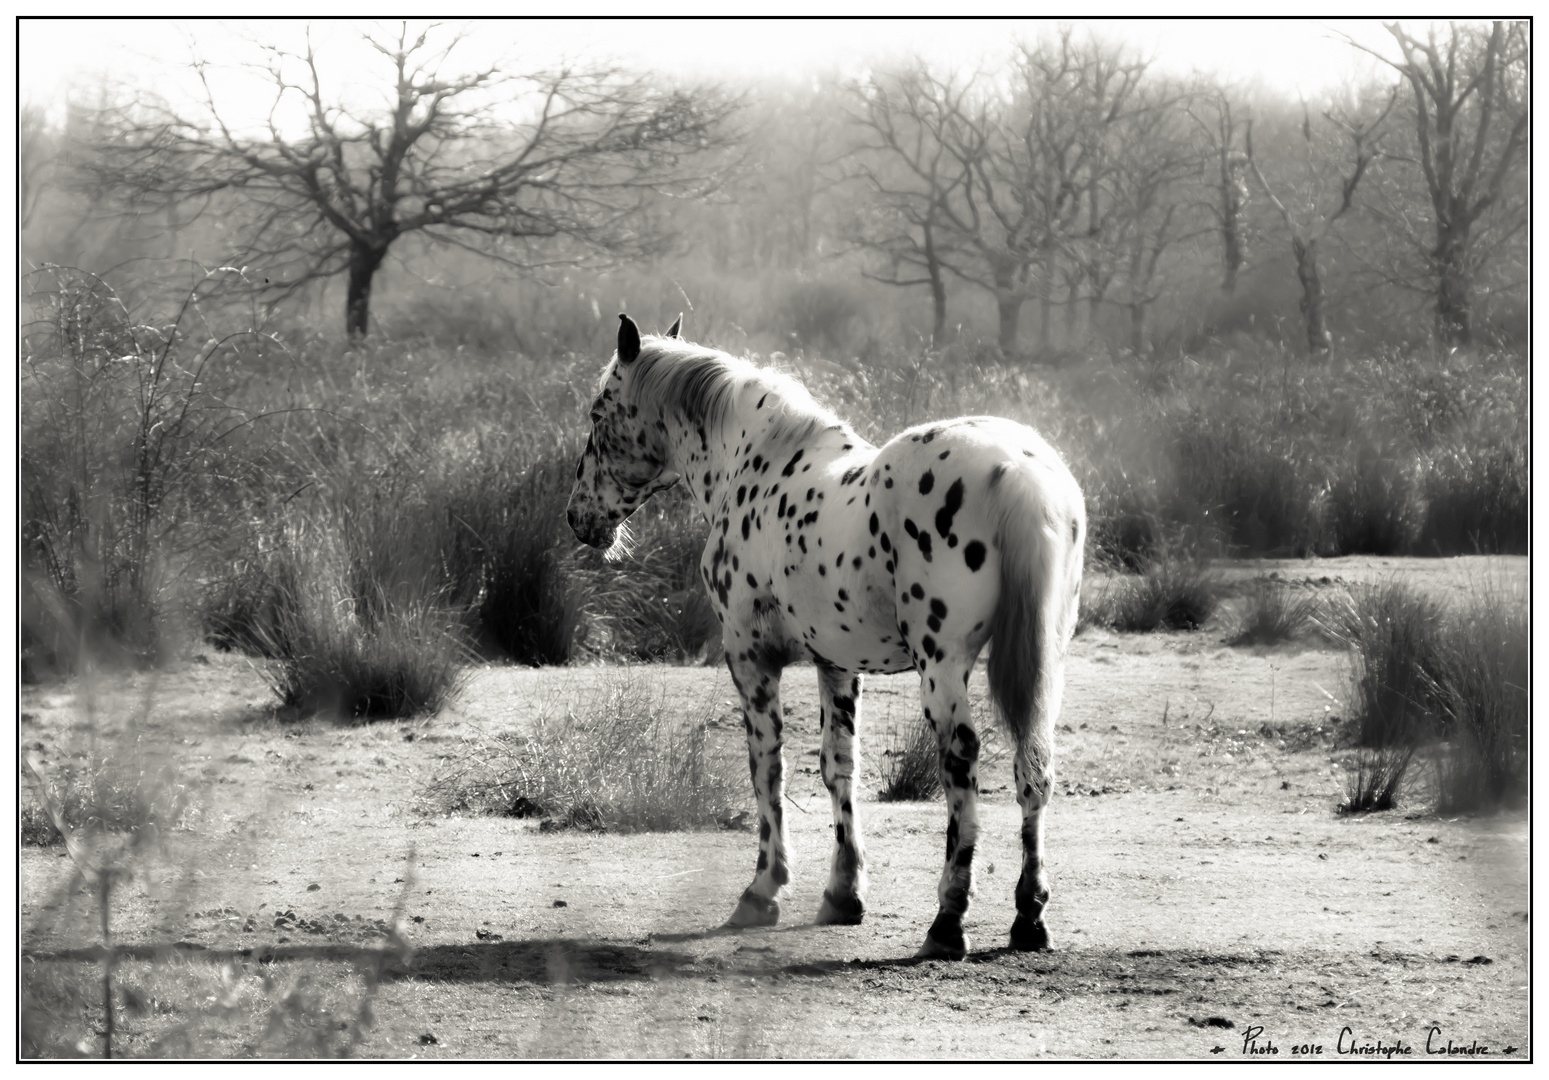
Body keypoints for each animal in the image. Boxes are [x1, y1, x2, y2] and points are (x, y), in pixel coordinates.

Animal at [563, 314, 1084, 960]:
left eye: (597, 414)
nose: (579, 518)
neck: (756, 463)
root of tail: (1017, 470)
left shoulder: (751, 659)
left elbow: (768, 769)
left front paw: (763, 891)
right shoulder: (836, 665)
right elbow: (841, 768)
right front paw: (842, 893)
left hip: (943, 666)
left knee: (960, 761)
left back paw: (947, 922)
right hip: (1043, 662)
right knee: (1034, 764)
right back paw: (1028, 919)